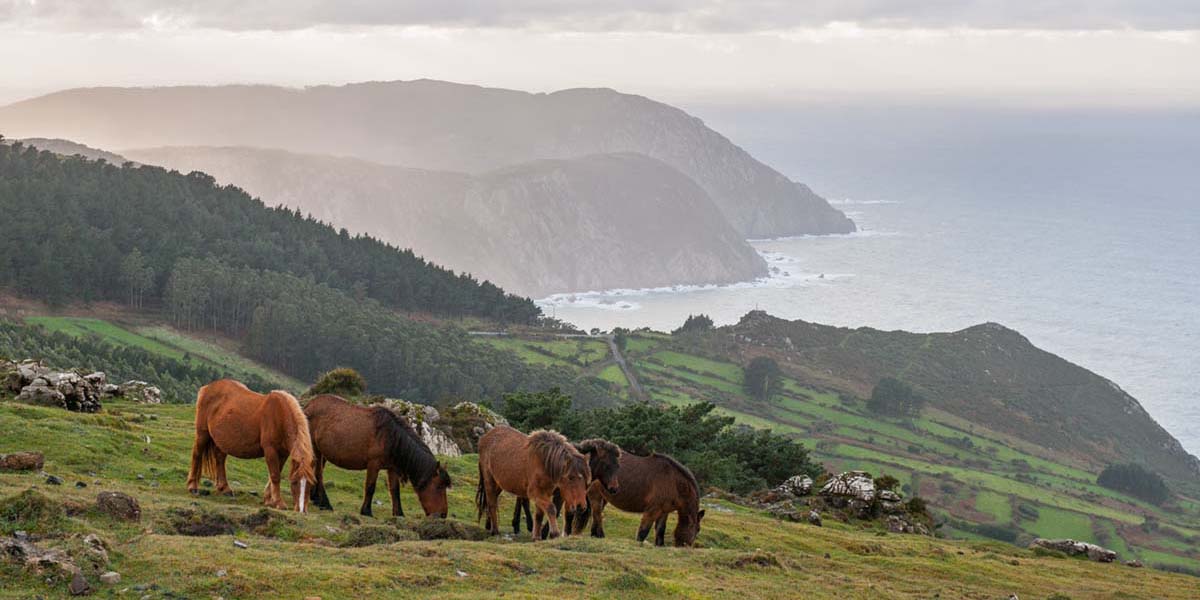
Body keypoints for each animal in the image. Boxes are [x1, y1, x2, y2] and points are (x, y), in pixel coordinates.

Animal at [184, 379, 316, 511]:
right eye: (294, 482)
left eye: (311, 484)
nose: (301, 510)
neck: (279, 416)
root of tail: (206, 388)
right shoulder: (270, 450)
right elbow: (275, 476)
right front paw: (278, 503)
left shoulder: (283, 454)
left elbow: (275, 474)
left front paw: (268, 500)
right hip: (203, 434)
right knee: (197, 454)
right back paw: (193, 487)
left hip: (221, 441)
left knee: (220, 459)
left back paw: (225, 489)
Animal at [302, 396, 451, 518]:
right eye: (439, 486)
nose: (443, 515)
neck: (391, 436)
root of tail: (308, 406)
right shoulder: (373, 464)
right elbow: (370, 487)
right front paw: (366, 511)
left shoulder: (392, 469)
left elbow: (395, 491)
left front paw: (399, 513)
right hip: (316, 450)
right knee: (319, 474)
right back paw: (324, 503)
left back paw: (315, 498)